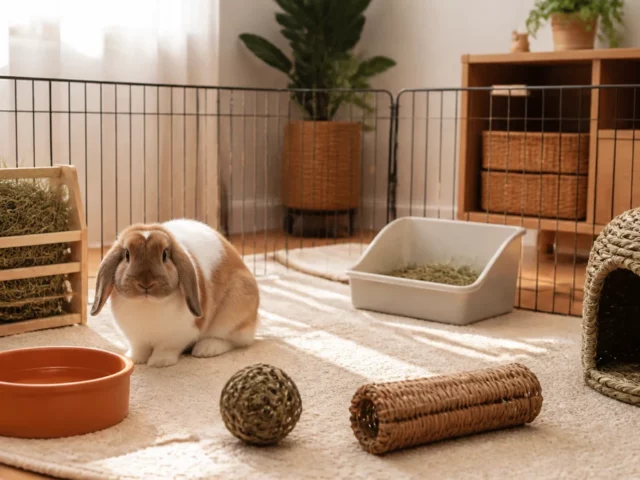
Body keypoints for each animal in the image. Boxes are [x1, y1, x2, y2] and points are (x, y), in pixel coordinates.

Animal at [90, 218, 259, 368]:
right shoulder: (136, 339)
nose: (146, 283)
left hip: (232, 313)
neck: (147, 303)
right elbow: (140, 348)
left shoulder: (177, 336)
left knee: (234, 340)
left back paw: (206, 349)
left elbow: (166, 348)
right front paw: (135, 359)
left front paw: (159, 362)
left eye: (165, 255)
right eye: (127, 254)